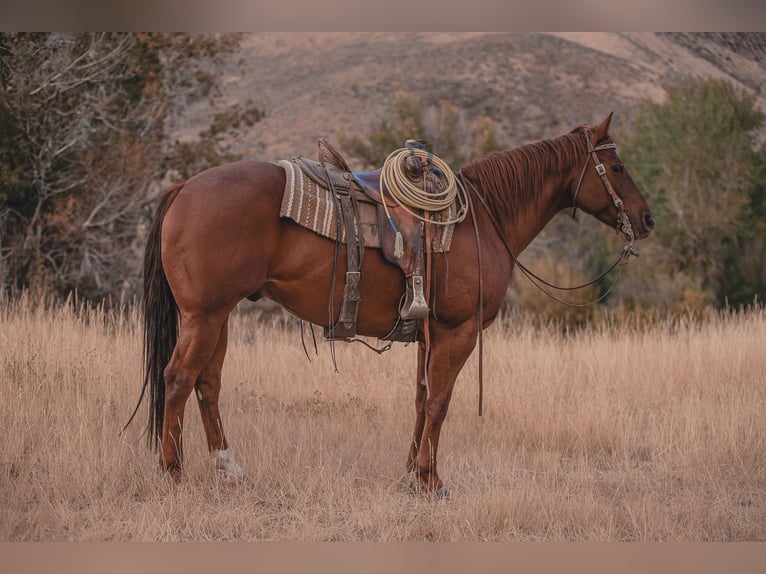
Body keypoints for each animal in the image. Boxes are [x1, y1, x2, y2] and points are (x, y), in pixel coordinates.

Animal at [134, 112, 654, 496]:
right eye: (619, 168)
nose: (647, 218)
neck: (486, 218)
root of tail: (184, 188)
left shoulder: (428, 333)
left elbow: (422, 400)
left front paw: (410, 473)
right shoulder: (457, 331)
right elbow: (441, 402)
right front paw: (431, 480)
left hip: (218, 316)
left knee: (208, 384)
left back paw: (229, 468)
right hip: (204, 316)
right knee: (178, 379)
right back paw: (172, 471)